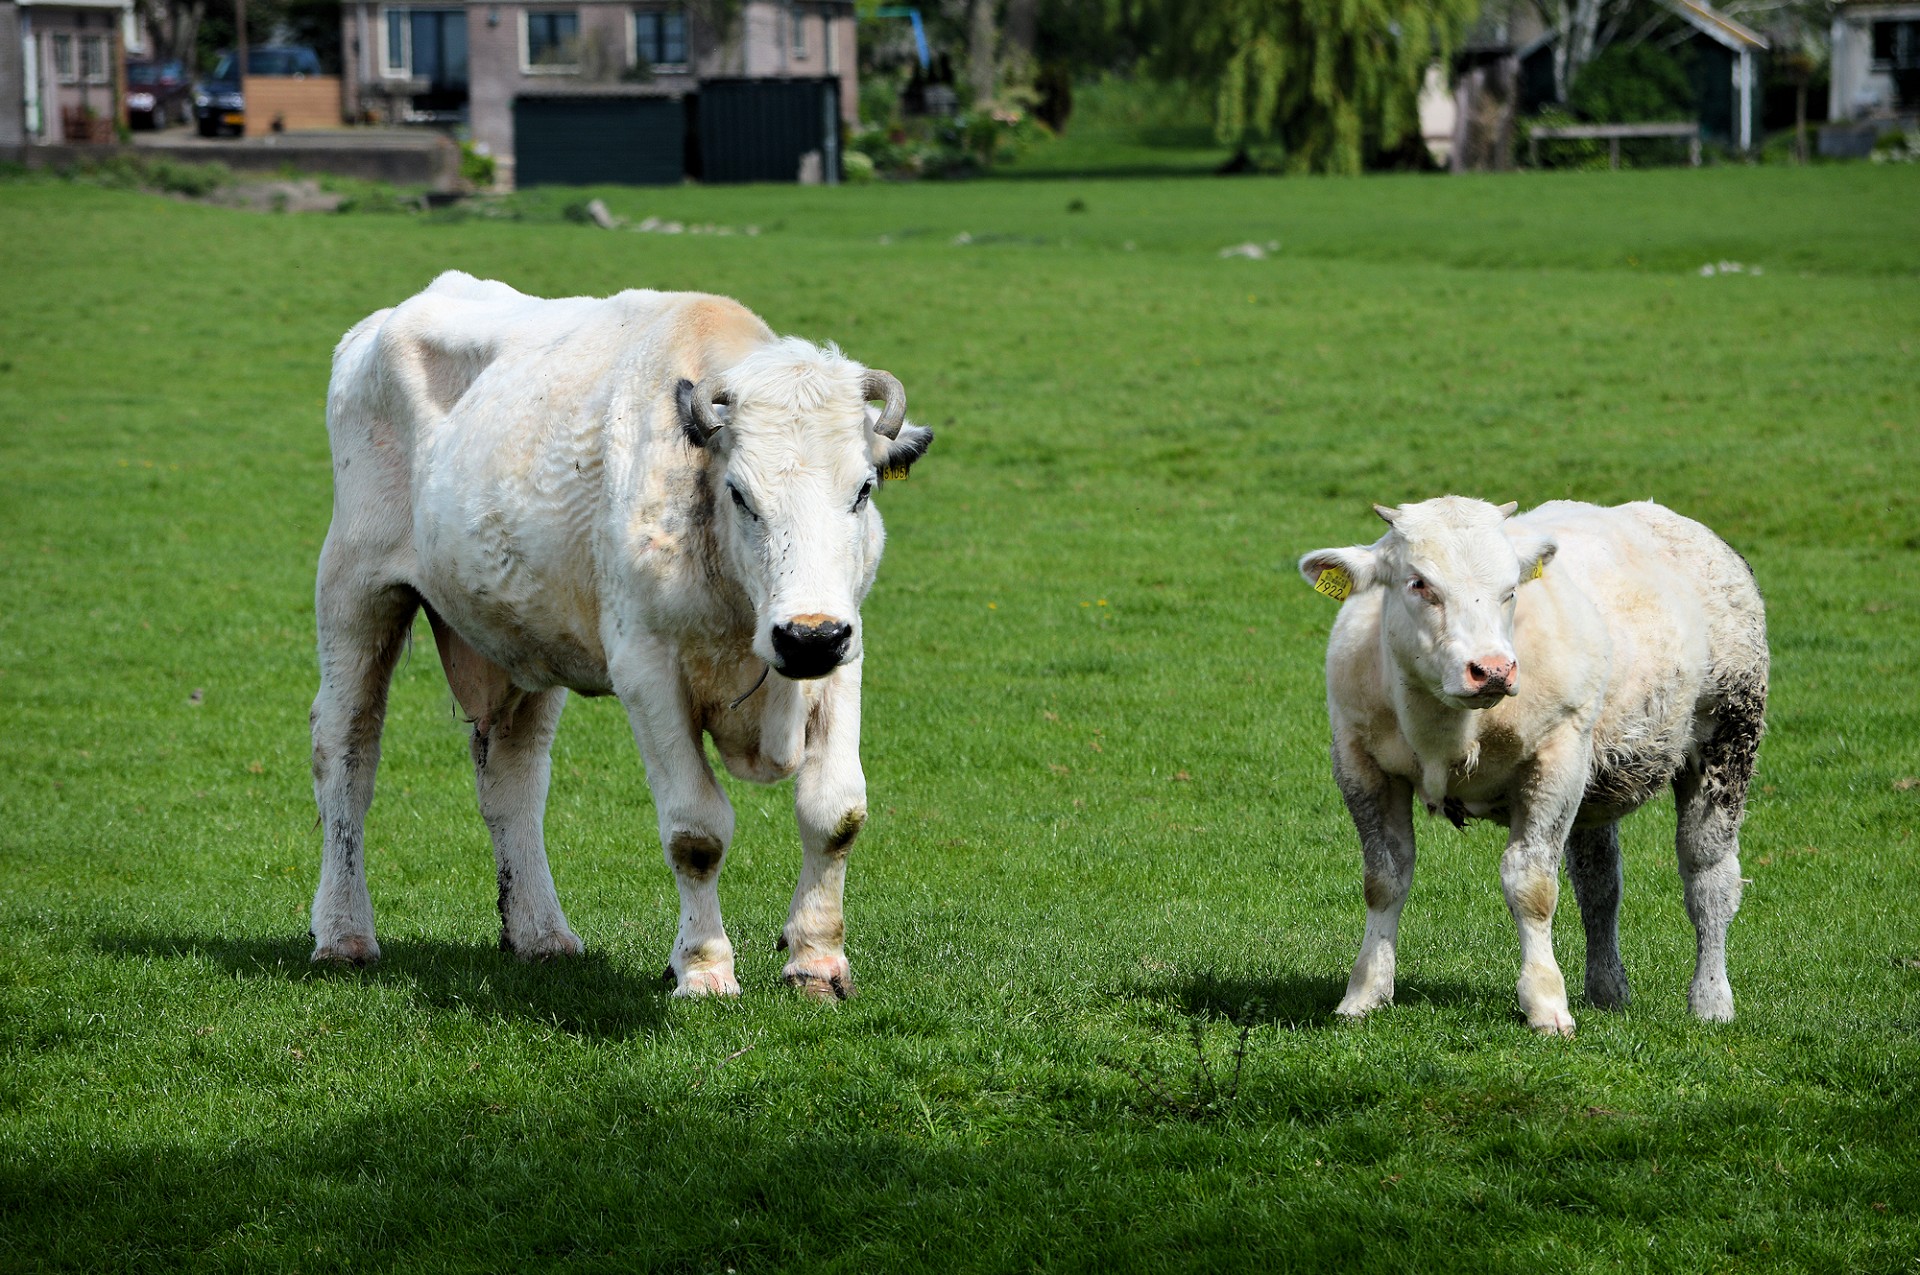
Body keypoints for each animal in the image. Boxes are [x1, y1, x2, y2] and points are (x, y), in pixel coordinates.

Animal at [311, 270, 933, 998]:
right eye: (740, 493)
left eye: (862, 489)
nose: (808, 637)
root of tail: (377, 325)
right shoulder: (647, 670)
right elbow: (696, 829)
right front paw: (704, 969)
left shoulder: (843, 655)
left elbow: (835, 813)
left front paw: (816, 961)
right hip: (355, 593)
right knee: (346, 753)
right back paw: (344, 934)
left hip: (525, 642)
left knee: (512, 779)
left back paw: (540, 934)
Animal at [1305, 499, 1766, 1036]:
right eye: (1418, 583)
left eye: (1511, 590)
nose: (1492, 670)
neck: (1444, 728)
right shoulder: (1358, 760)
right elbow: (1384, 878)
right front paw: (1364, 993)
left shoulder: (1557, 758)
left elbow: (1532, 886)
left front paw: (1545, 1002)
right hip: (1596, 778)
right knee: (1599, 884)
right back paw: (1606, 991)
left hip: (1731, 729)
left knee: (1708, 876)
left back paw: (1711, 1000)